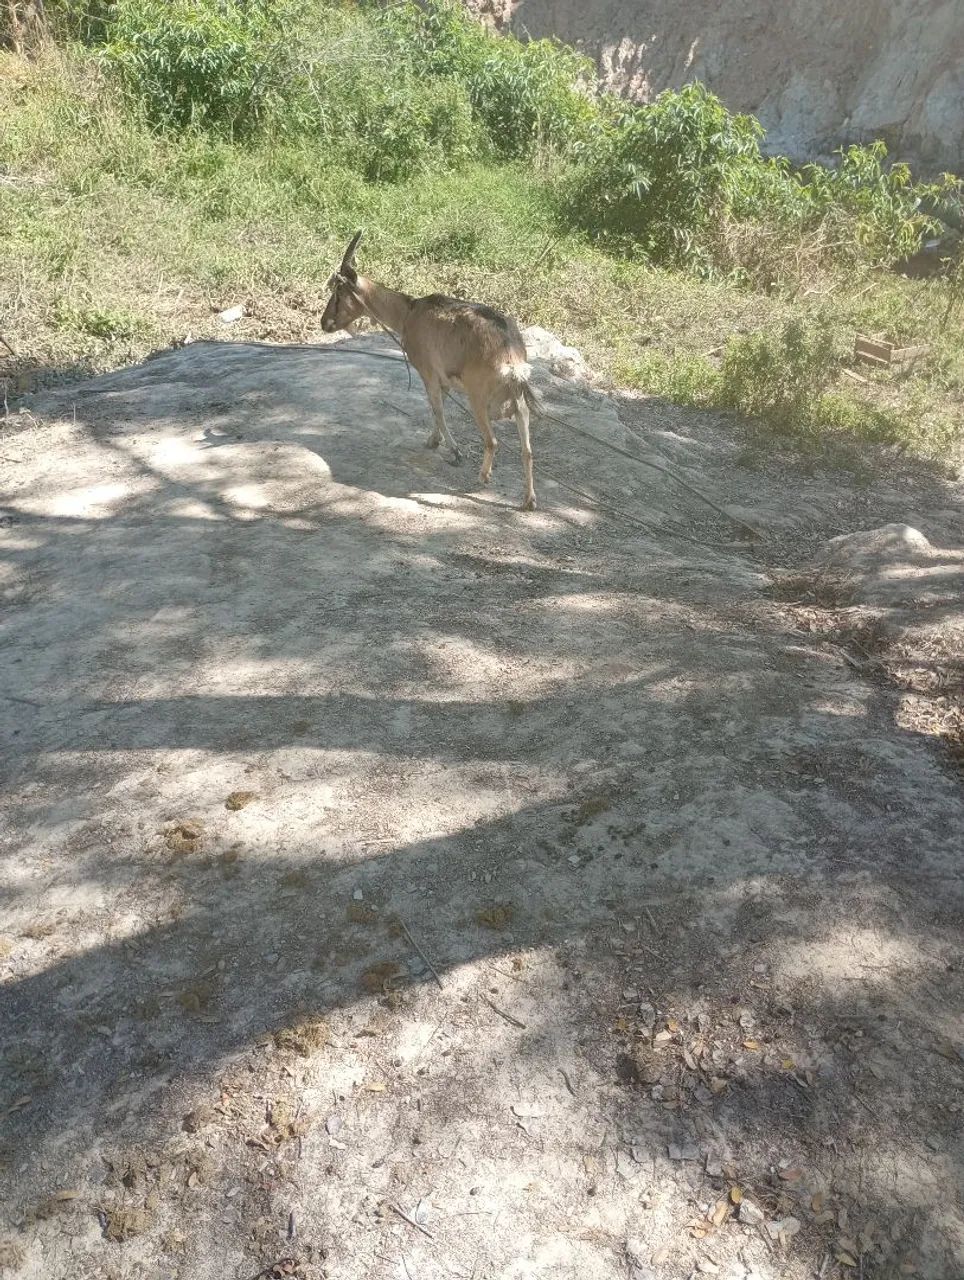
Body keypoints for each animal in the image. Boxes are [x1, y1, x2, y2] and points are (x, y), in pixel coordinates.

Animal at [321, 231, 537, 510]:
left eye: (338, 293)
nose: (324, 323)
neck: (409, 312)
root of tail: (510, 355)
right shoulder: (443, 380)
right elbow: (438, 409)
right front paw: (433, 441)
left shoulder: (428, 372)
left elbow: (437, 409)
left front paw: (454, 451)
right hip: (519, 401)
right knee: (528, 450)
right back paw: (529, 500)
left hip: (478, 396)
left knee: (492, 441)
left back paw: (483, 476)